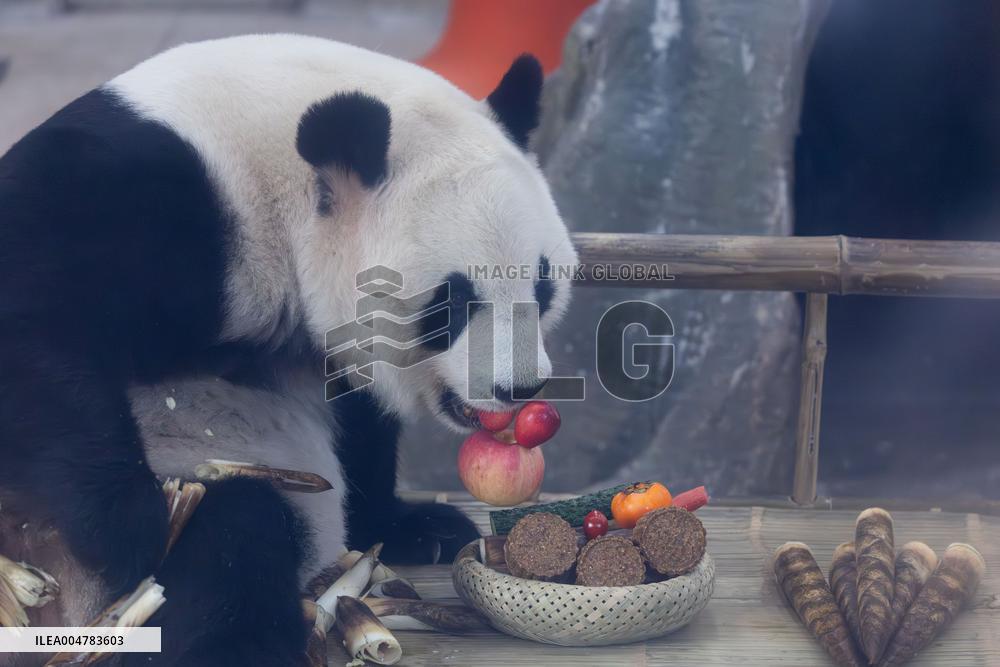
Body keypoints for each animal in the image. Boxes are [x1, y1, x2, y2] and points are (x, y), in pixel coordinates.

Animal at [0, 34, 576, 666]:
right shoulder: (151, 197)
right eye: (450, 303)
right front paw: (131, 524)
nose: (519, 386)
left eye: (543, 286)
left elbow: (358, 417)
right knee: (235, 538)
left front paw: (416, 528)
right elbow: (35, 321)